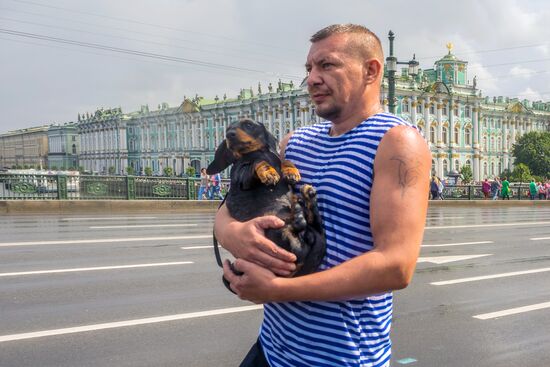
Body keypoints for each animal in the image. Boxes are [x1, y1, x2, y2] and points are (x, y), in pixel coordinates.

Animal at [208, 118, 328, 278]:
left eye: (248, 124)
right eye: (227, 128)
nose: (229, 135)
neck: (258, 152)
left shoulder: (275, 159)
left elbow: (284, 161)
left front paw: (291, 172)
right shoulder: (243, 177)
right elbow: (258, 162)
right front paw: (269, 174)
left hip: (315, 237)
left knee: (312, 224)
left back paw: (305, 197)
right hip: (277, 229)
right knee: (299, 226)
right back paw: (299, 207)